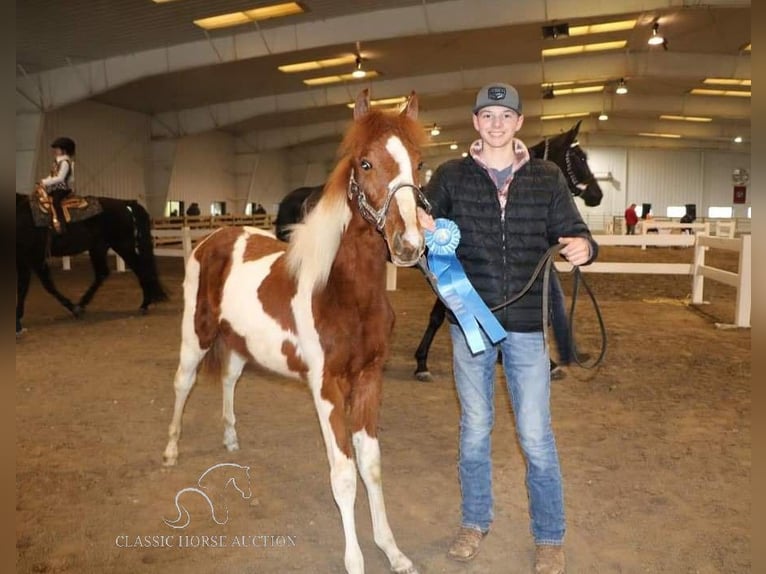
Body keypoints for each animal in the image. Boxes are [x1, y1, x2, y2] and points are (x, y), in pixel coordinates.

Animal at [15, 194, 169, 336]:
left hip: (122, 246)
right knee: (103, 273)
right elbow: (34, 287)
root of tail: (124, 204)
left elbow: (37, 287)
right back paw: (82, 305)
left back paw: (144, 304)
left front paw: (18, 323)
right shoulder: (28, 260)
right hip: (99, 248)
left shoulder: (32, 259)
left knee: (139, 269)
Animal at [164, 90, 426, 574]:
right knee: (183, 383)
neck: (342, 292)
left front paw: (393, 551)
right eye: (365, 163)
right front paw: (355, 560)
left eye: (418, 162)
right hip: (197, 336)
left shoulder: (369, 379)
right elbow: (343, 475)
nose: (409, 245)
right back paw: (171, 451)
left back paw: (231, 439)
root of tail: (212, 240)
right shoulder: (326, 386)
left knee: (229, 380)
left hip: (239, 345)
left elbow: (371, 466)